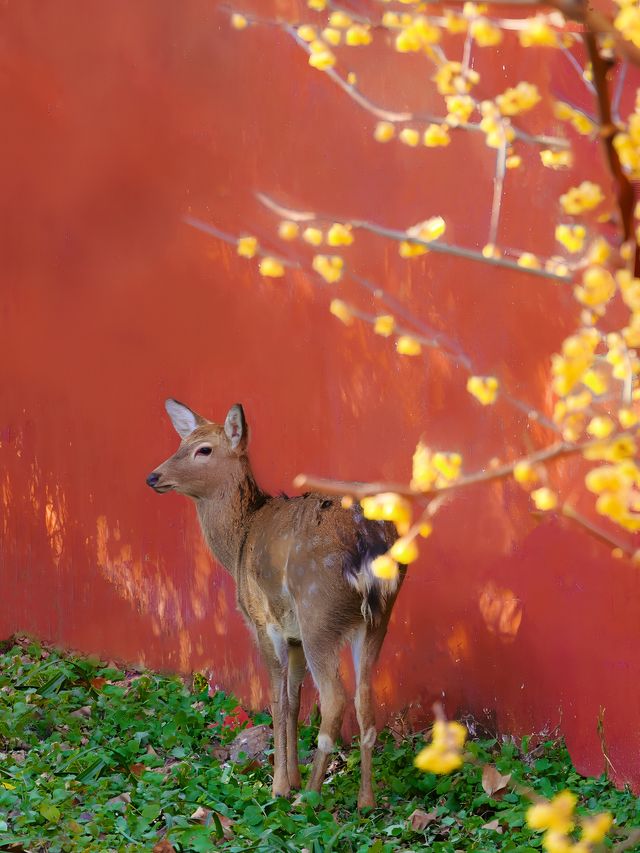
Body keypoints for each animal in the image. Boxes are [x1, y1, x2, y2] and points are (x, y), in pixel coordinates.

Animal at [146, 400, 404, 804]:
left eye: (203, 449)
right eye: (181, 442)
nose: (154, 477)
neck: (238, 542)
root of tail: (366, 541)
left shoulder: (263, 621)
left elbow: (276, 698)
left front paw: (280, 784)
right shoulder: (292, 633)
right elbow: (295, 699)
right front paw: (291, 776)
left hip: (318, 611)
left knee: (334, 699)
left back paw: (308, 796)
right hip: (378, 617)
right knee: (365, 699)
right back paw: (366, 801)